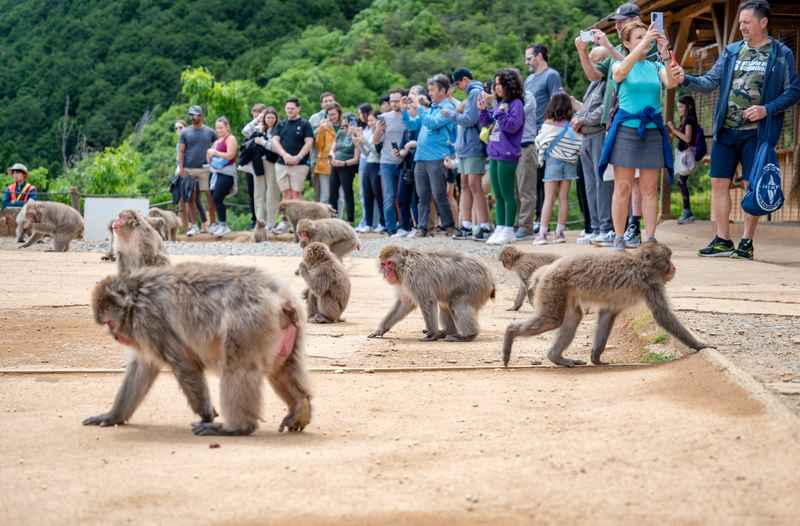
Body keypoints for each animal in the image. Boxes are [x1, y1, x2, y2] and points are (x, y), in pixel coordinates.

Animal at [86, 262, 312, 436]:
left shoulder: (151, 322)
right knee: (282, 368)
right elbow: (141, 368)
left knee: (238, 369)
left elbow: (185, 364)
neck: (136, 296)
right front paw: (113, 416)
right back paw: (300, 407)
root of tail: (281, 297)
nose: (115, 336)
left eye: (109, 323)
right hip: (289, 328)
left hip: (250, 321)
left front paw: (206, 415)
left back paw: (236, 428)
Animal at [502, 241, 711, 368]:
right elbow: (663, 316)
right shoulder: (650, 284)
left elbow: (607, 315)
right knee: (552, 319)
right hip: (553, 285)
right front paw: (699, 344)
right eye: (667, 259)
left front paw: (596, 357)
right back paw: (510, 333)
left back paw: (556, 357)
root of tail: (546, 269)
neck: (640, 264)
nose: (674, 267)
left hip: (559, 289)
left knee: (573, 318)